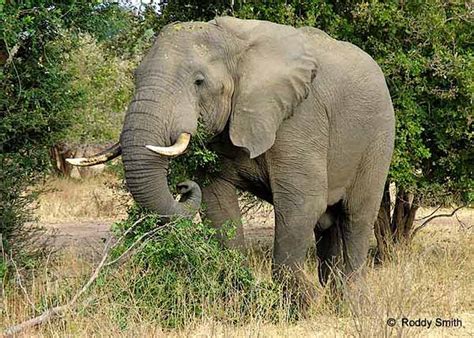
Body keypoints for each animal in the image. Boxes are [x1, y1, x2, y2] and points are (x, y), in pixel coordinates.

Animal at [66, 17, 392, 294]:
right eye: (135, 76)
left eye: (199, 82)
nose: (183, 186)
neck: (234, 45)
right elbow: (218, 206)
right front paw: (239, 291)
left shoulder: (301, 118)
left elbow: (301, 203)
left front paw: (303, 306)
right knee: (328, 224)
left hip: (378, 140)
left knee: (356, 216)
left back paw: (350, 302)